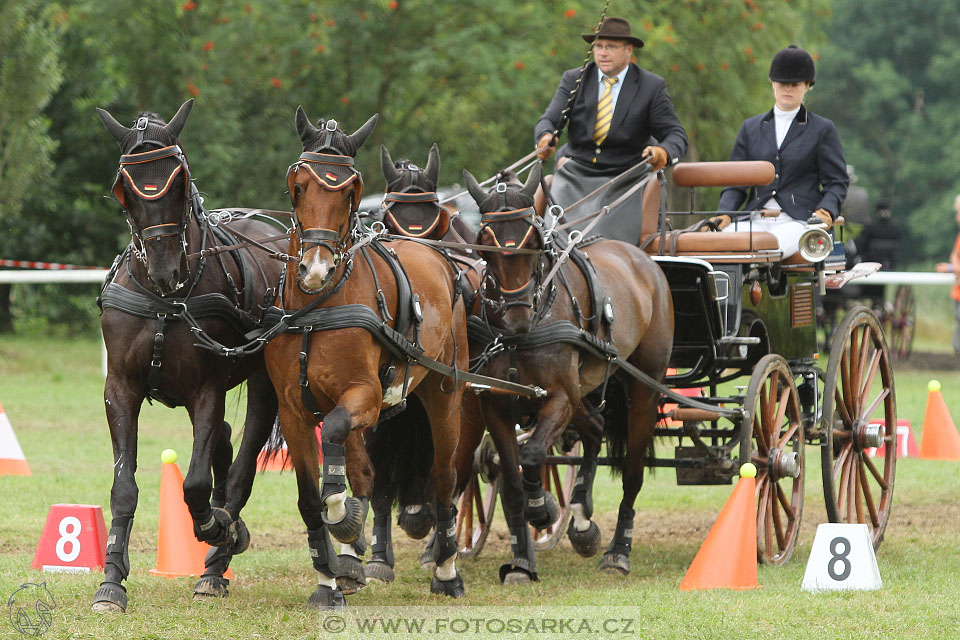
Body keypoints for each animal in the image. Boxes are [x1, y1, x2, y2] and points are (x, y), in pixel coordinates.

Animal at [95, 99, 286, 608]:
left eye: (178, 181)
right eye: (125, 190)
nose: (165, 269)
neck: (166, 299)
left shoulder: (207, 390)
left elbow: (196, 483)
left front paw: (217, 528)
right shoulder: (120, 389)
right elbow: (124, 486)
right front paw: (111, 580)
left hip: (264, 383)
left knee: (240, 465)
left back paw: (217, 562)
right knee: (224, 441)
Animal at [264, 107, 470, 608]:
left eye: (349, 190)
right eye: (298, 185)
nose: (315, 269)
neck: (316, 309)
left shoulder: (367, 397)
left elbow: (336, 476)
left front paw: (346, 521)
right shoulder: (295, 411)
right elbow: (312, 497)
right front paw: (329, 578)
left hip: (445, 396)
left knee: (443, 479)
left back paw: (447, 571)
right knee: (361, 467)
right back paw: (352, 564)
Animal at [464, 164, 676, 580]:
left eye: (533, 238)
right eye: (485, 240)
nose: (517, 318)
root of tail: (643, 260)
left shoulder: (560, 396)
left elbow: (532, 454)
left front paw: (541, 508)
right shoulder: (496, 404)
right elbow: (512, 482)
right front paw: (521, 560)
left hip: (641, 387)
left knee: (632, 471)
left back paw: (617, 551)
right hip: (583, 391)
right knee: (594, 430)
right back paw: (581, 519)